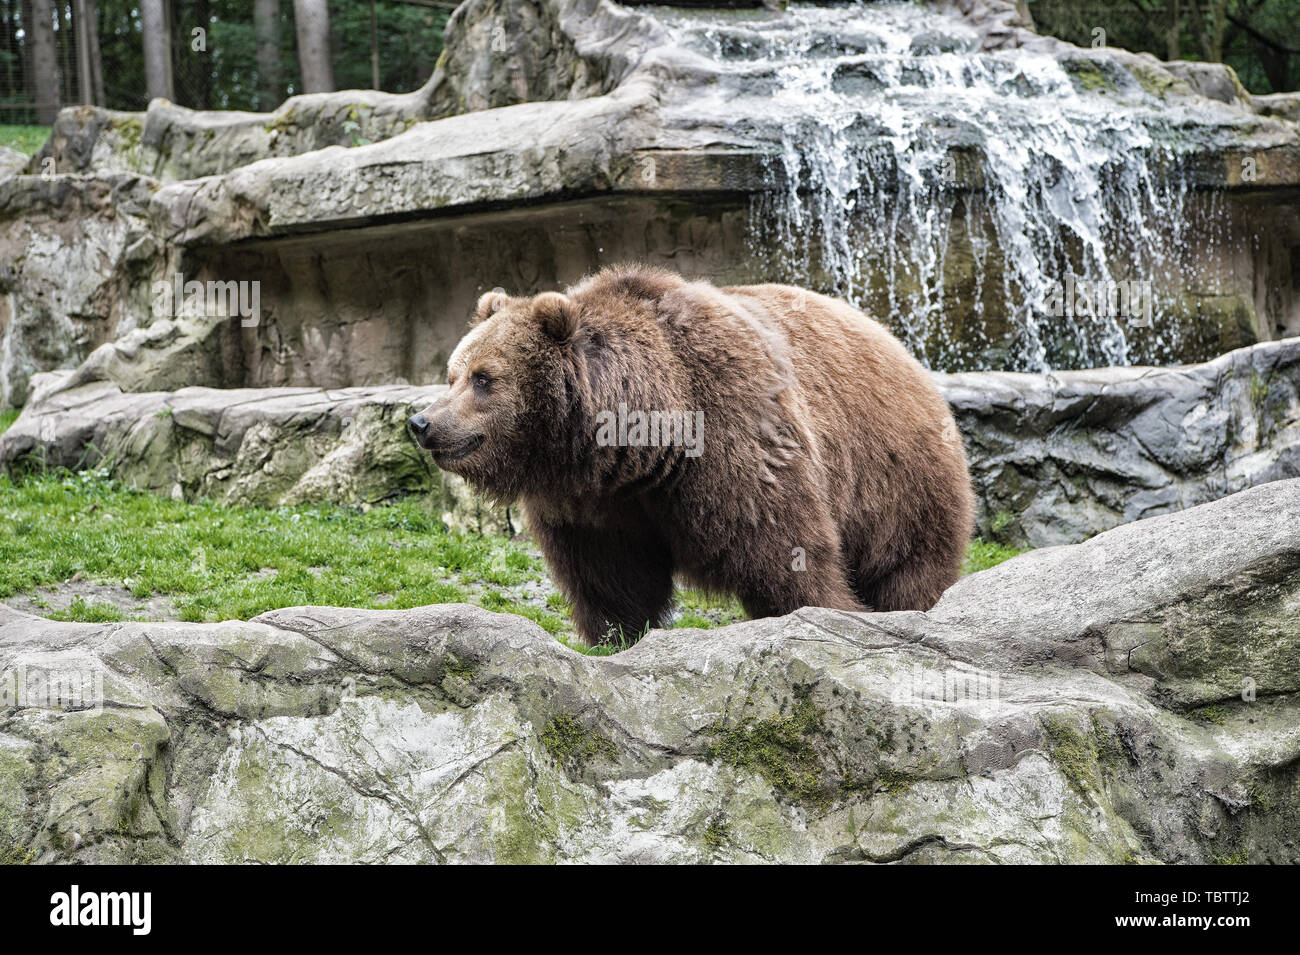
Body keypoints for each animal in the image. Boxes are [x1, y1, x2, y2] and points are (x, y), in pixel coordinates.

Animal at [410, 265, 972, 647]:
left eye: (484, 378)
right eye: (453, 373)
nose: (422, 422)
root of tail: (898, 346)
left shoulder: (735, 434)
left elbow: (787, 555)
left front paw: (821, 616)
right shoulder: (594, 504)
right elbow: (609, 578)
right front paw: (616, 637)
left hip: (896, 477)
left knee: (908, 568)